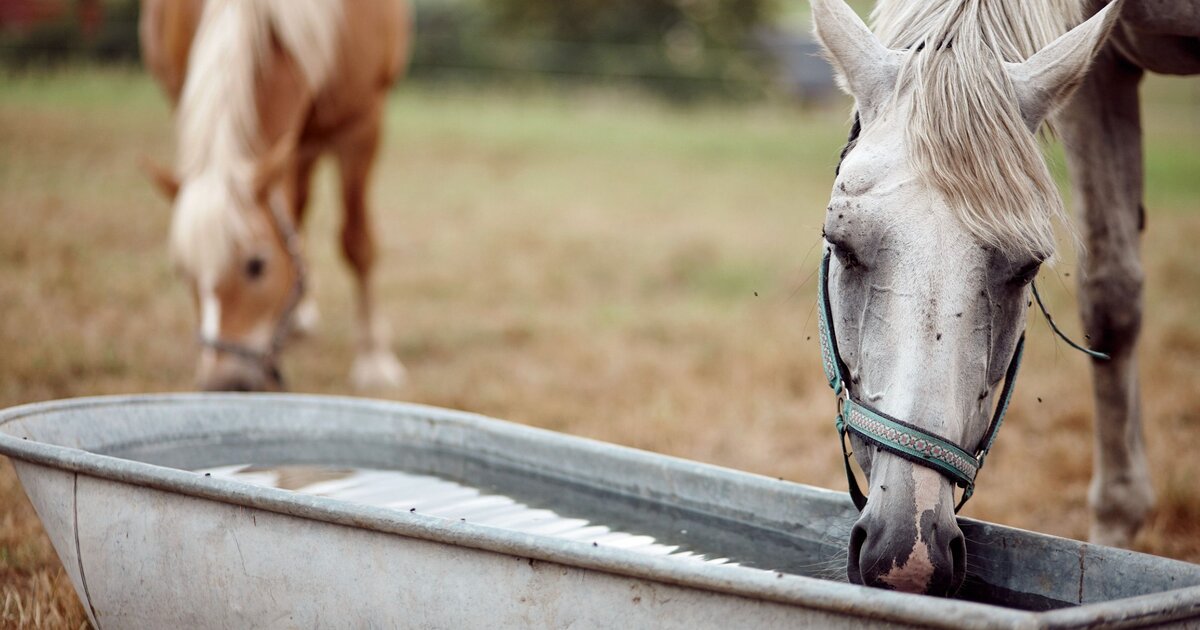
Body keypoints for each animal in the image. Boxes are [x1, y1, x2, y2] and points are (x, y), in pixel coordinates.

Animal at [140, 0, 412, 391]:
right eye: (182, 272)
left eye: (256, 265)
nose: (224, 384)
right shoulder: (183, 95)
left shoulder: (362, 120)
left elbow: (357, 242)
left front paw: (374, 359)